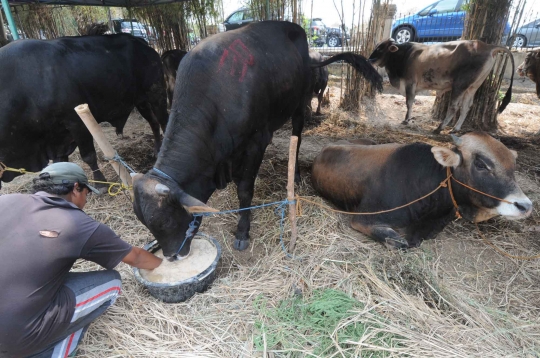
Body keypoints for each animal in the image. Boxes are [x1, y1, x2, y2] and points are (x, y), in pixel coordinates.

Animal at [0, 34, 168, 187]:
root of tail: (139, 41)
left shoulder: (76, 123)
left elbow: (88, 156)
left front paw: (100, 183)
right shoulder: (57, 138)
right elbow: (60, 162)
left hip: (156, 94)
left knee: (163, 122)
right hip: (141, 101)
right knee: (153, 123)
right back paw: (157, 150)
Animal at [132, 21, 382, 258]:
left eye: (166, 221)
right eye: (144, 222)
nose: (172, 256)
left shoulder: (255, 143)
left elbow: (244, 190)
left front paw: (242, 231)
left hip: (300, 105)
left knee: (297, 139)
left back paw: (296, 175)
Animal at [368, 39, 516, 134]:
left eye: (381, 48)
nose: (370, 60)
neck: (403, 55)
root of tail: (487, 46)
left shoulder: (410, 83)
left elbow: (409, 103)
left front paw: (406, 120)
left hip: (459, 85)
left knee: (454, 107)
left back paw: (439, 128)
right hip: (472, 87)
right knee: (466, 107)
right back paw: (455, 129)